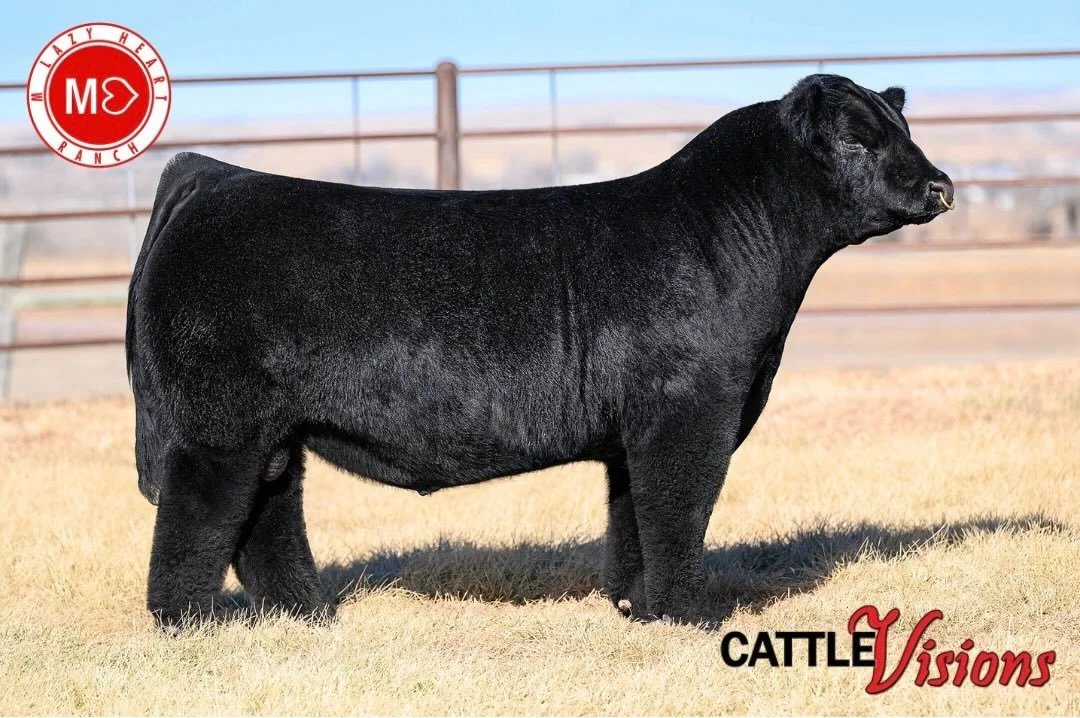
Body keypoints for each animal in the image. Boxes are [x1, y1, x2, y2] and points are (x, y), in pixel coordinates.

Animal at [126, 74, 954, 627]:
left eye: (906, 130)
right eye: (856, 138)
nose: (941, 186)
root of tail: (212, 175)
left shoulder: (631, 433)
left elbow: (632, 522)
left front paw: (636, 609)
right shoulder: (689, 412)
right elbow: (679, 510)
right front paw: (690, 618)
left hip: (272, 431)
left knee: (266, 515)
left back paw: (307, 617)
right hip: (218, 426)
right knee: (198, 515)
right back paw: (189, 626)